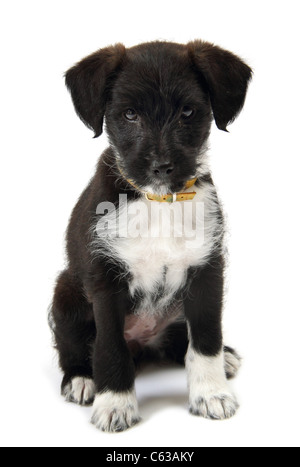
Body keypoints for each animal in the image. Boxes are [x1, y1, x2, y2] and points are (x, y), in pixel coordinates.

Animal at [50, 42, 252, 434]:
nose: (161, 167)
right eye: (130, 115)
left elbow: (206, 338)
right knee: (73, 346)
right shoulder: (106, 280)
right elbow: (109, 345)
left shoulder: (207, 271)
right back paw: (82, 379)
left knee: (185, 341)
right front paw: (114, 403)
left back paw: (225, 358)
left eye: (188, 112)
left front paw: (211, 393)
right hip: (66, 294)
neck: (159, 202)